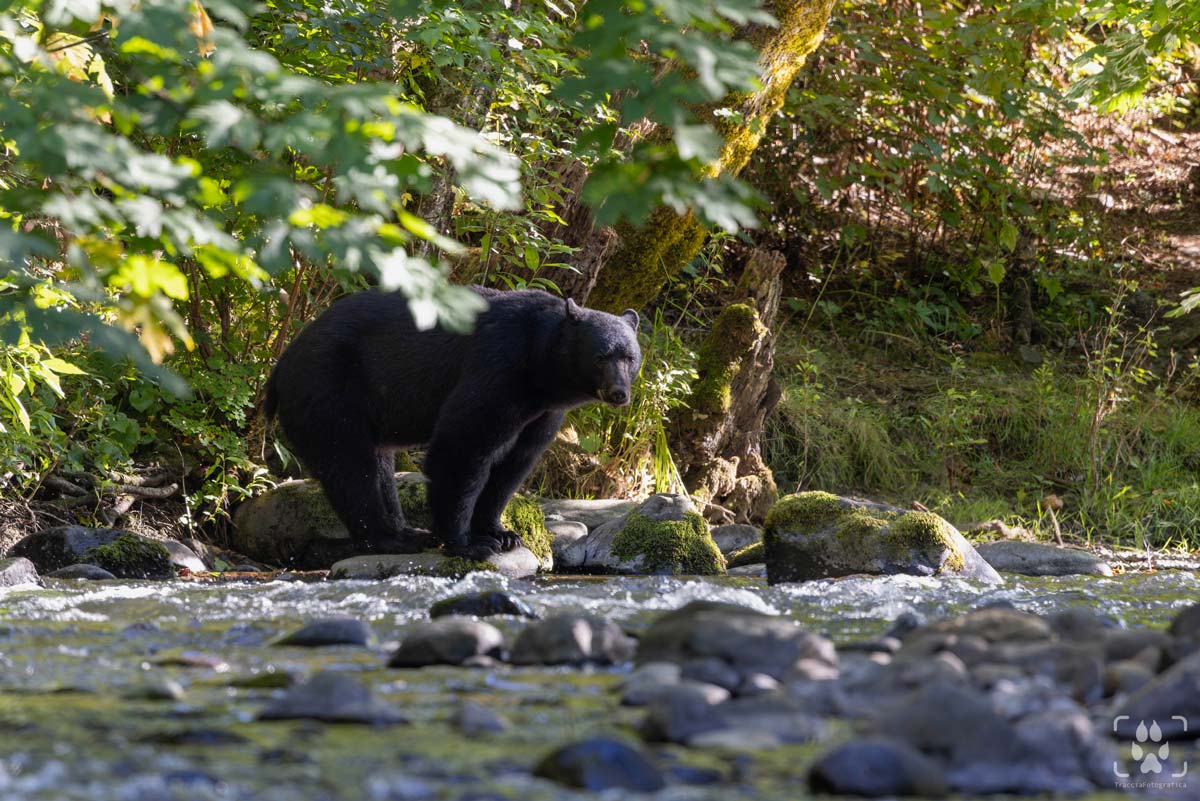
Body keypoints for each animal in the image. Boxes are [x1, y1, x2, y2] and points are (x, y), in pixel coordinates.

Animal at [265, 287, 642, 561]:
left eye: (631, 357)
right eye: (601, 356)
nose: (619, 393)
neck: (541, 368)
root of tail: (279, 366)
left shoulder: (542, 412)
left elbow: (515, 463)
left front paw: (501, 532)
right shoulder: (498, 367)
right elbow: (462, 445)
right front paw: (469, 543)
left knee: (377, 463)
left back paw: (405, 531)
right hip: (328, 390)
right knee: (350, 466)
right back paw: (389, 538)